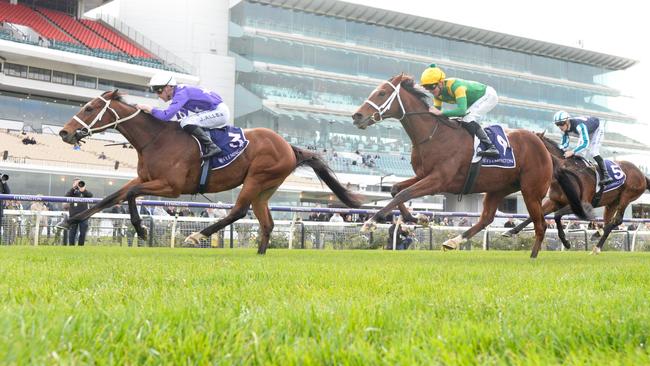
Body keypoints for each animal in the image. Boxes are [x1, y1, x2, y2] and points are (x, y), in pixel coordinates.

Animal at [56, 90, 362, 253]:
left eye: (90, 108)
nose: (64, 133)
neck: (156, 139)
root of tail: (288, 146)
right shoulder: (145, 177)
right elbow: (112, 197)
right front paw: (69, 221)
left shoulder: (172, 187)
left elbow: (131, 194)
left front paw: (141, 230)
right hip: (266, 188)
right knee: (267, 223)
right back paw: (260, 254)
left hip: (257, 178)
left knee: (239, 210)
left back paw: (197, 236)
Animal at [350, 73, 588, 258]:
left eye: (381, 93)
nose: (357, 116)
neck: (433, 135)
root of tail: (544, 149)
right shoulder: (423, 175)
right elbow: (395, 189)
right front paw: (418, 218)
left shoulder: (438, 180)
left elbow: (404, 193)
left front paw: (371, 221)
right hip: (499, 188)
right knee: (486, 218)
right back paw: (454, 240)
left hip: (531, 191)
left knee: (541, 225)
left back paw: (533, 256)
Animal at [502, 132, 648, 254]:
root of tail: (642, 175)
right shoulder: (554, 201)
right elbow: (536, 215)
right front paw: (511, 231)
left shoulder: (580, 204)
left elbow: (556, 216)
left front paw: (566, 242)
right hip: (611, 203)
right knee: (608, 222)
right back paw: (597, 234)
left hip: (627, 196)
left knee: (617, 220)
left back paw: (597, 247)